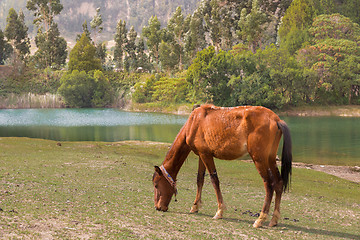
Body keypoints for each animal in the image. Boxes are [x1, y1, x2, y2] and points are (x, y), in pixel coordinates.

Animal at [153, 104, 292, 228]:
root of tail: (276, 119)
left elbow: (214, 180)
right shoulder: (201, 155)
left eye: (156, 184)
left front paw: (219, 211)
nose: (158, 207)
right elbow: (200, 179)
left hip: (259, 159)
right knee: (278, 183)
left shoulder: (206, 155)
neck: (194, 122)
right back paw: (274, 219)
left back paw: (260, 219)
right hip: (270, 159)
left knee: (269, 185)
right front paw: (195, 206)